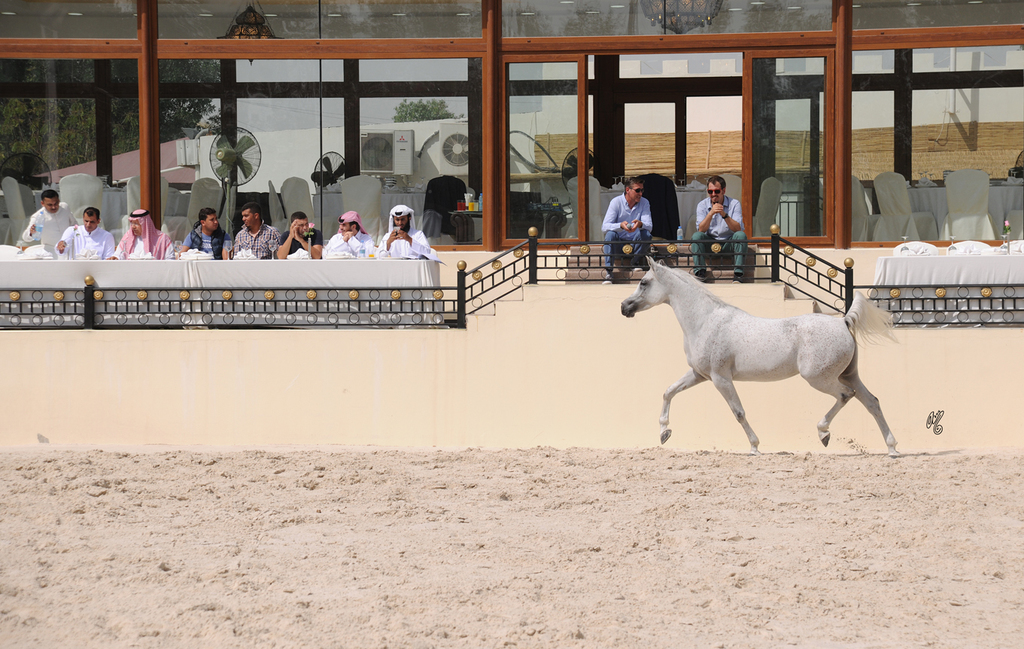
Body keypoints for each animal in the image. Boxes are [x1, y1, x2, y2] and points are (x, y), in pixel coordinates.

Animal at [620, 259, 899, 456]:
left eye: (644, 282)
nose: (624, 307)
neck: (705, 320)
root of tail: (843, 322)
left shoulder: (721, 378)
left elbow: (738, 412)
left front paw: (754, 446)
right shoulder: (699, 375)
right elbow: (669, 391)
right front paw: (664, 432)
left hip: (820, 378)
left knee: (845, 396)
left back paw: (824, 434)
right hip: (849, 374)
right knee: (872, 402)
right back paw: (892, 448)